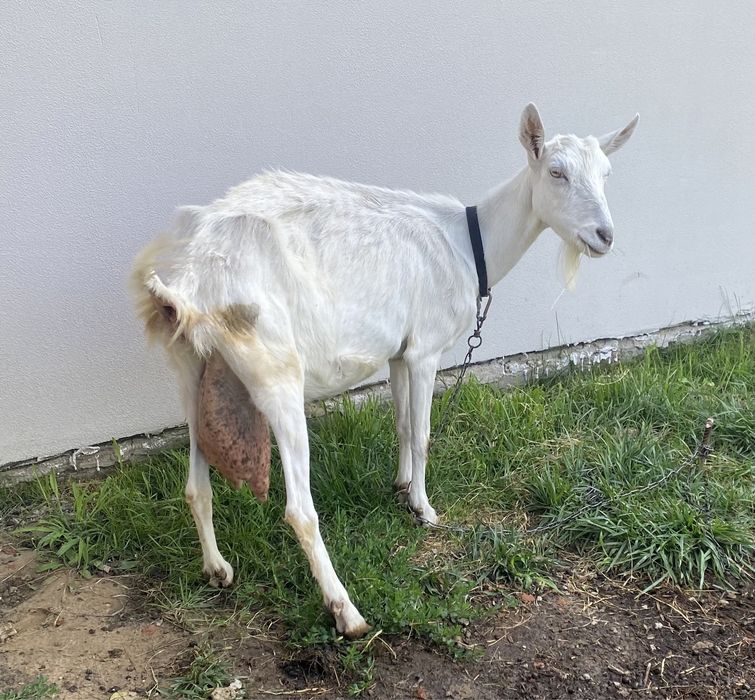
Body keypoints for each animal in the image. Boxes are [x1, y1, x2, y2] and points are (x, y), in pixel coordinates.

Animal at [132, 103, 638, 638]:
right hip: (274, 369)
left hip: (191, 370)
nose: (604, 236)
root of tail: (187, 283)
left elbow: (401, 424)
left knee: (196, 486)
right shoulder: (426, 350)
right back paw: (346, 613)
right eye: (556, 172)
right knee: (299, 511)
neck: (467, 245)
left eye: (607, 173)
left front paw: (401, 486)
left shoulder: (399, 351)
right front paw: (424, 508)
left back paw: (217, 569)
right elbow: (423, 432)